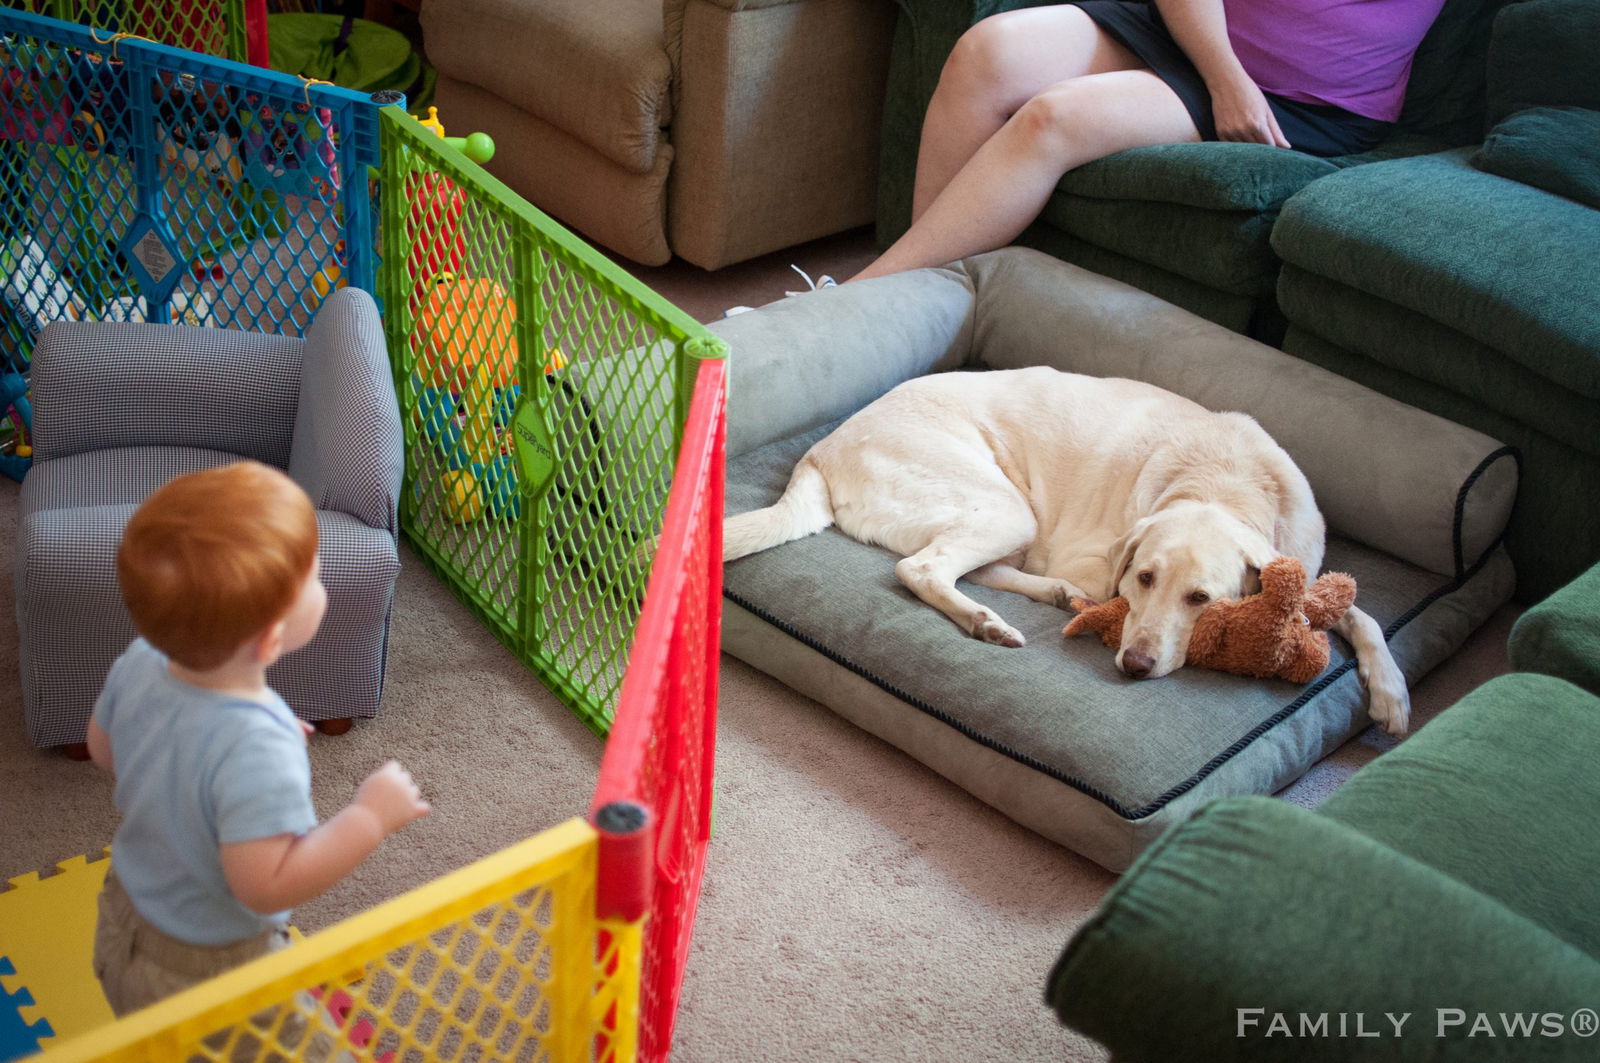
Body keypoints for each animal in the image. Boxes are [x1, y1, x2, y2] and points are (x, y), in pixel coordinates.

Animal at [729, 369, 1414, 736]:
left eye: (1200, 598)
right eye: (1143, 579)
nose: (1134, 665)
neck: (1224, 481)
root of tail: (820, 450)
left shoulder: (1304, 565)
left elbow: (1361, 614)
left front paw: (1390, 693)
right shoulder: (1098, 559)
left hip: (1009, 517)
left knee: (972, 566)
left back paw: (1048, 601)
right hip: (1007, 507)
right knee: (920, 567)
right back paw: (989, 622)